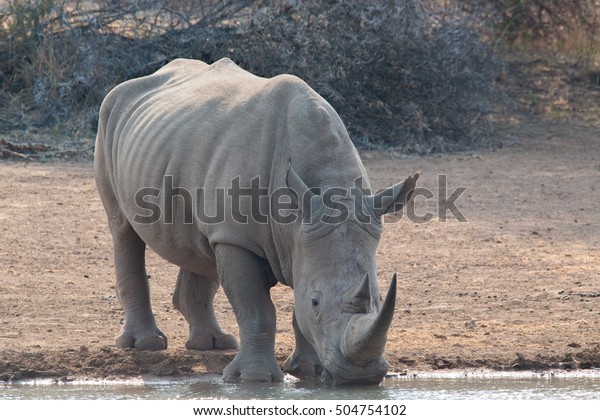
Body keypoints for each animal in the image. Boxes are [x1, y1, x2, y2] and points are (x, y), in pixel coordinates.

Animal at [95, 57, 418, 386]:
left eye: (380, 298)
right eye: (316, 302)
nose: (359, 377)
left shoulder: (301, 237)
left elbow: (295, 309)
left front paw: (308, 372)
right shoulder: (239, 238)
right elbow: (257, 310)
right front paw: (255, 378)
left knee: (198, 243)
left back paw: (213, 344)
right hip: (108, 117)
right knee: (123, 230)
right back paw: (146, 344)